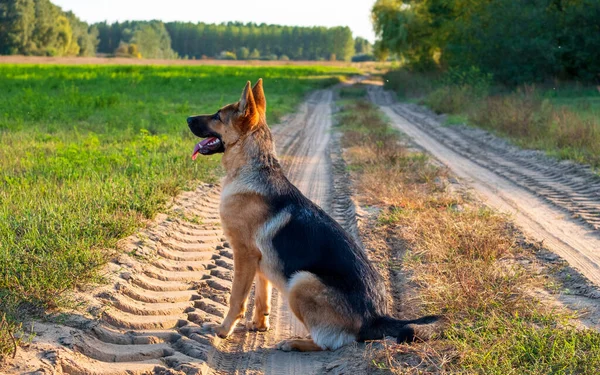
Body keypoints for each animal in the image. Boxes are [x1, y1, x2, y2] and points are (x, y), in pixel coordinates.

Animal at [185, 80, 438, 352]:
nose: (187, 118)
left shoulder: (244, 255)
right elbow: (262, 297)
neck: (253, 167)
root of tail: (378, 317)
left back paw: (295, 342)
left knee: (331, 343)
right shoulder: (260, 263)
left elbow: (236, 299)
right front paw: (259, 326)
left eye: (217, 116)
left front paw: (223, 330)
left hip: (301, 281)